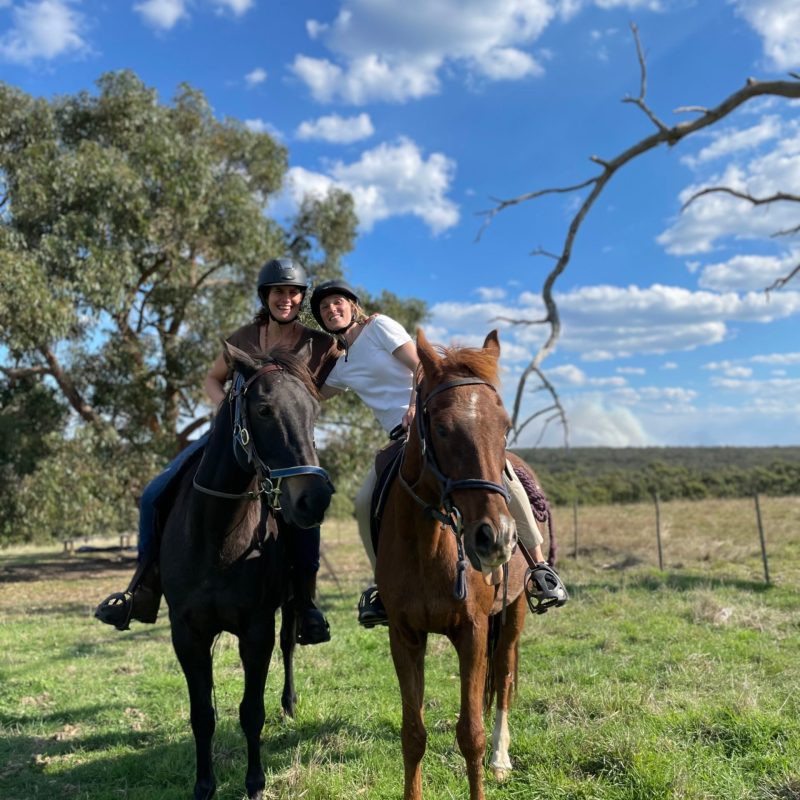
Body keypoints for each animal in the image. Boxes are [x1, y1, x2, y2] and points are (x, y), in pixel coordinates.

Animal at [159, 343, 334, 800]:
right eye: (264, 409)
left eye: (314, 411)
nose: (315, 498)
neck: (218, 538)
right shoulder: (187, 634)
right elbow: (202, 714)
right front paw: (204, 785)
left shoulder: (257, 631)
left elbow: (251, 711)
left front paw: (255, 783)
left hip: (289, 606)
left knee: (290, 645)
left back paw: (289, 704)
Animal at [376, 329, 534, 800]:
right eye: (443, 429)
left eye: (504, 427)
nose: (496, 538)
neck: (428, 546)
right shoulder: (404, 635)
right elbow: (413, 734)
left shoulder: (473, 630)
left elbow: (471, 735)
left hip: (514, 613)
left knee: (504, 678)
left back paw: (501, 759)